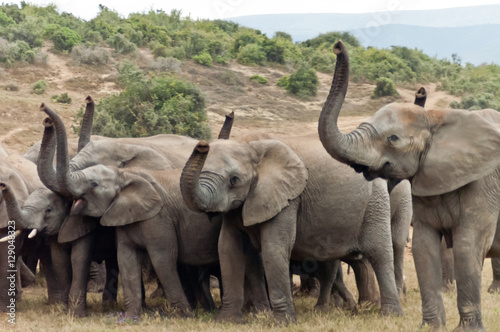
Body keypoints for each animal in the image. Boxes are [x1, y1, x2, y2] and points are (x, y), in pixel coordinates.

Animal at [178, 127, 404, 324]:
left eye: (234, 180)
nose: (202, 145)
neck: (249, 144)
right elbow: (228, 249)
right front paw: (226, 321)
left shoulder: (288, 199)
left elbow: (273, 249)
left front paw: (282, 323)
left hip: (375, 203)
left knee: (379, 254)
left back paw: (389, 315)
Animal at [318, 39, 500, 332]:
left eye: (392, 138)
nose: (337, 45)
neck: (436, 118)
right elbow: (424, 249)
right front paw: (430, 328)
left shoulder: (484, 183)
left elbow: (466, 246)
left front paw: (466, 331)